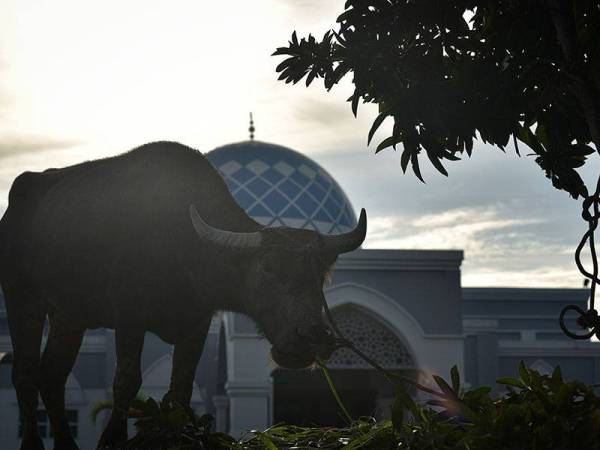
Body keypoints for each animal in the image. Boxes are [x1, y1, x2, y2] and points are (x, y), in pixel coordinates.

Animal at [0, 142, 366, 450]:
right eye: (268, 266)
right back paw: (32, 443)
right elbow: (126, 381)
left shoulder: (197, 323)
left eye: (321, 274)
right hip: (23, 299)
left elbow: (181, 390)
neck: (182, 243)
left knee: (52, 375)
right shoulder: (129, 315)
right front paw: (111, 440)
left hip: (69, 316)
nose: (311, 337)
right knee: (24, 373)